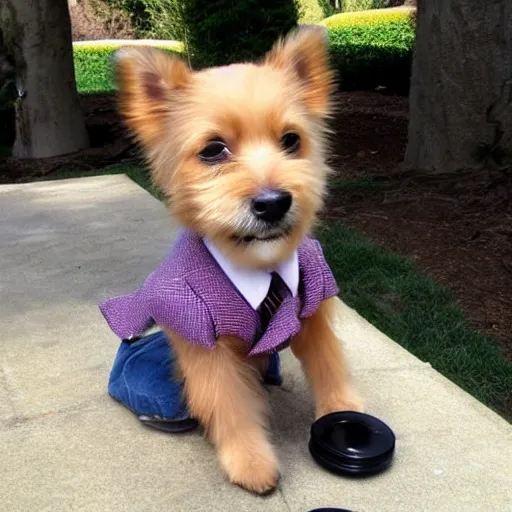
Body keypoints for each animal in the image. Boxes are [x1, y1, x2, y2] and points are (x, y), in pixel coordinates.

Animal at [108, 25, 364, 496]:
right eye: (213, 150)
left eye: (291, 141)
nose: (274, 202)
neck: (260, 267)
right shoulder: (205, 348)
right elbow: (229, 405)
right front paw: (250, 461)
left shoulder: (314, 312)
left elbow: (330, 366)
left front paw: (344, 409)